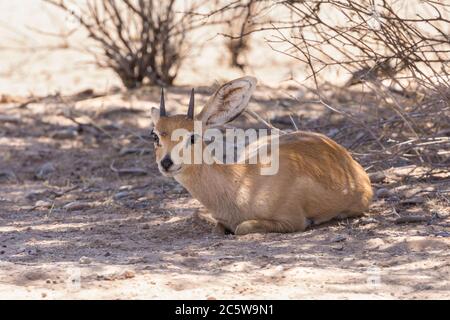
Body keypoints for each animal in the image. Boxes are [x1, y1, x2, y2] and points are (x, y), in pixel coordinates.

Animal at [151, 76, 372, 234]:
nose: (166, 162)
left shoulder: (291, 221)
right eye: (155, 135)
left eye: (193, 136)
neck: (241, 186)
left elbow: (242, 227)